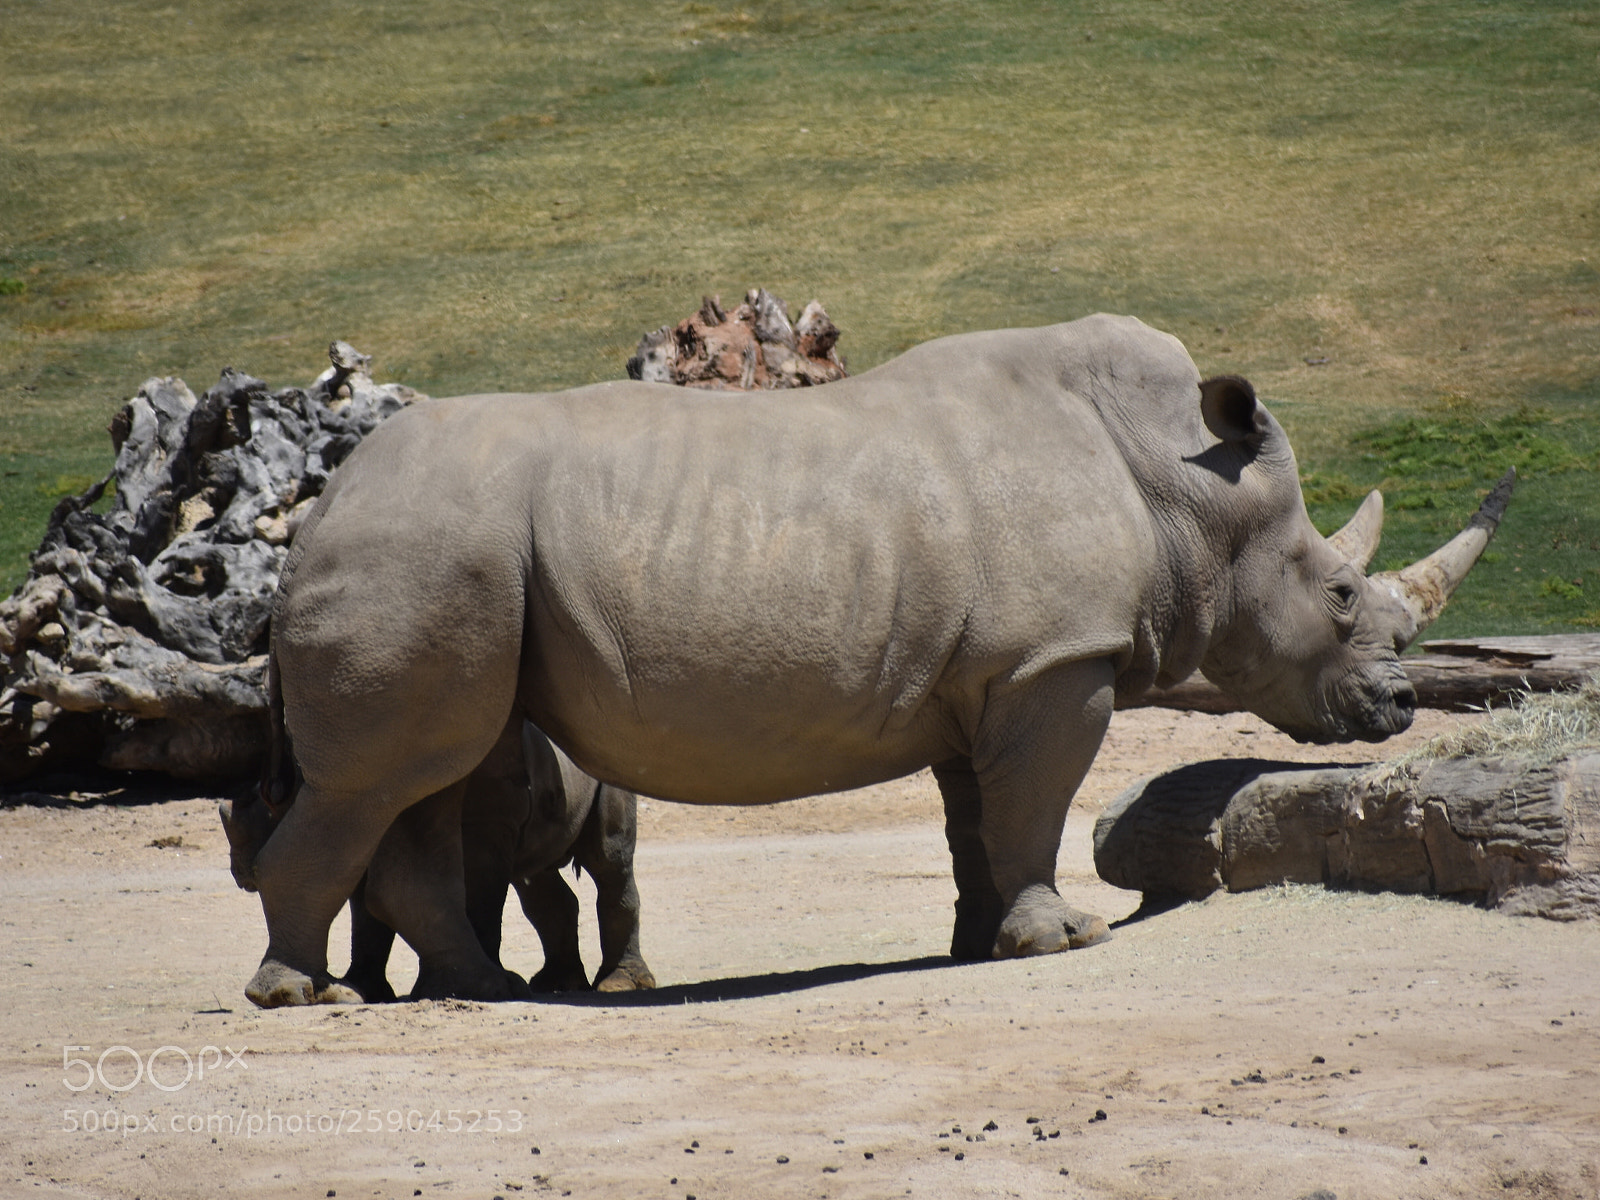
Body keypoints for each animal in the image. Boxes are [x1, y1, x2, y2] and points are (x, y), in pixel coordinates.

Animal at [242, 313, 1510, 1007]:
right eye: (1337, 595)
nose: (1399, 706)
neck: (1186, 486)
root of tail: (315, 510)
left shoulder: (993, 673)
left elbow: (978, 817)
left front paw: (981, 944)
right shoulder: (1055, 662)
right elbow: (1035, 802)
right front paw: (1065, 939)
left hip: (447, 558)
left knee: (426, 781)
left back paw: (476, 989)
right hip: (420, 546)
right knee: (383, 782)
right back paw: (300, 994)